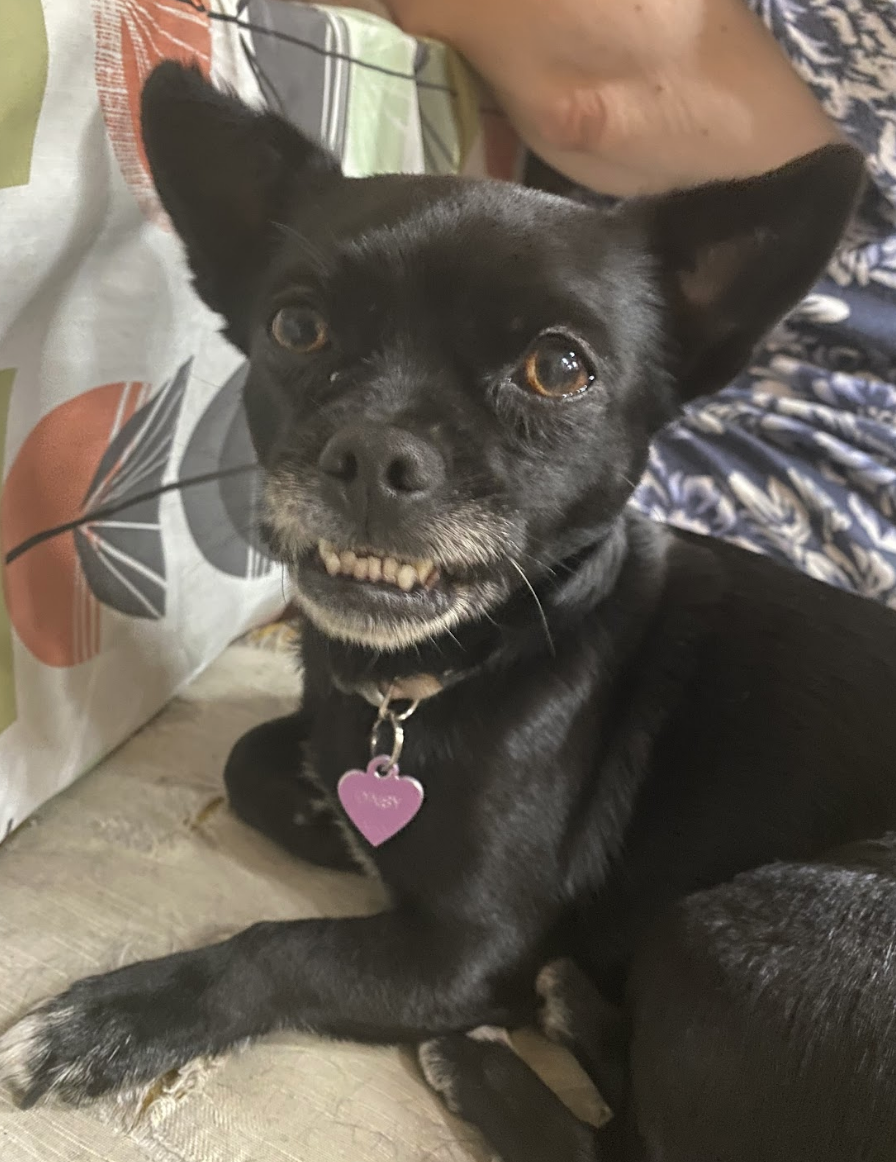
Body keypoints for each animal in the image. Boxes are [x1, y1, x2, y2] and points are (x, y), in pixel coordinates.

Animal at [3, 61, 892, 1162]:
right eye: (296, 326)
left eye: (560, 367)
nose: (374, 453)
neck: (425, 678)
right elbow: (246, 759)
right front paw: (325, 818)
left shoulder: (462, 952)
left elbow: (282, 947)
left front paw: (111, 1017)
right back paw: (572, 1001)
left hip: (749, 924)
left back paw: (485, 1062)